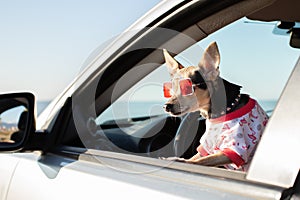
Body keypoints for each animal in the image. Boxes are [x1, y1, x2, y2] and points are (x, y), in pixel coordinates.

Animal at [163, 41, 268, 170]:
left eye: (187, 88)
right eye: (171, 89)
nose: (166, 106)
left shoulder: (232, 150)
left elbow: (197, 161)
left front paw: (178, 160)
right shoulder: (208, 147)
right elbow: (196, 158)